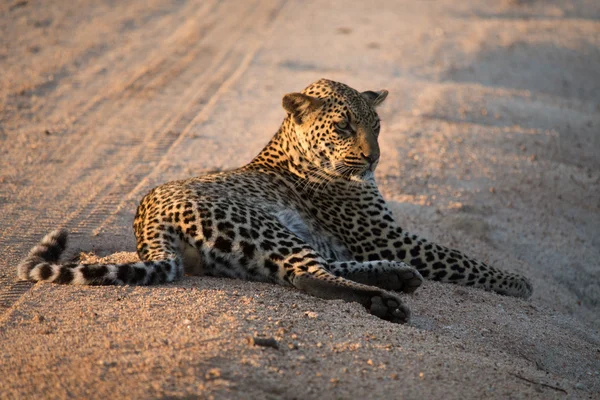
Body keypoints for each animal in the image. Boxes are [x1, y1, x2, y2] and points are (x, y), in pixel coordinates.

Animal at [18, 79, 532, 324]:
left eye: (377, 125)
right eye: (344, 126)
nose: (374, 157)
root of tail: (145, 223)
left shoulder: (385, 239)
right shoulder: (388, 236)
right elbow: (461, 258)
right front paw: (517, 281)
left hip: (257, 242)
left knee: (311, 268)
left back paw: (398, 278)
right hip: (258, 223)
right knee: (308, 277)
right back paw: (388, 301)